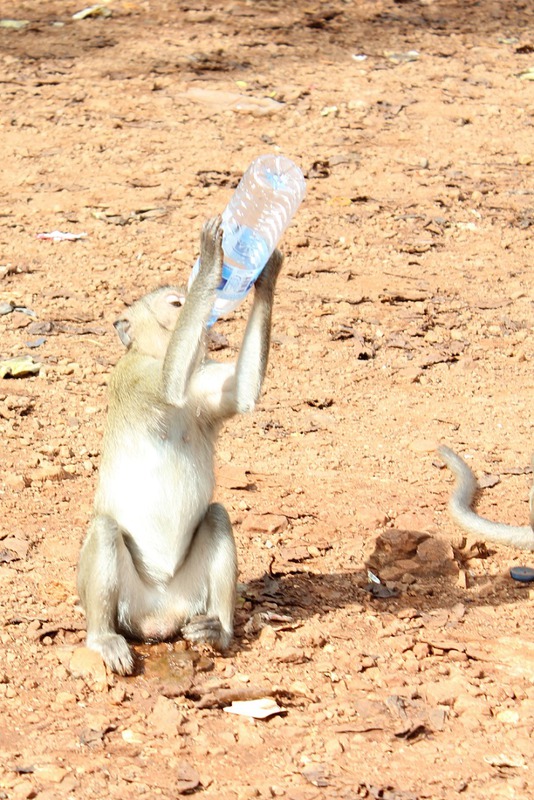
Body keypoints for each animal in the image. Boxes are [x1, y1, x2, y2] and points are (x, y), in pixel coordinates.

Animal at [78, 216, 284, 672]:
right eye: (176, 304)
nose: (201, 308)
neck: (154, 353)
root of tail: (158, 619)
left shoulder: (201, 386)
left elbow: (242, 394)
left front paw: (265, 272)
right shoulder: (137, 376)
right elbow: (172, 385)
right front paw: (210, 261)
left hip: (189, 595)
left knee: (217, 516)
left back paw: (218, 630)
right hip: (128, 600)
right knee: (105, 529)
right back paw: (103, 638)